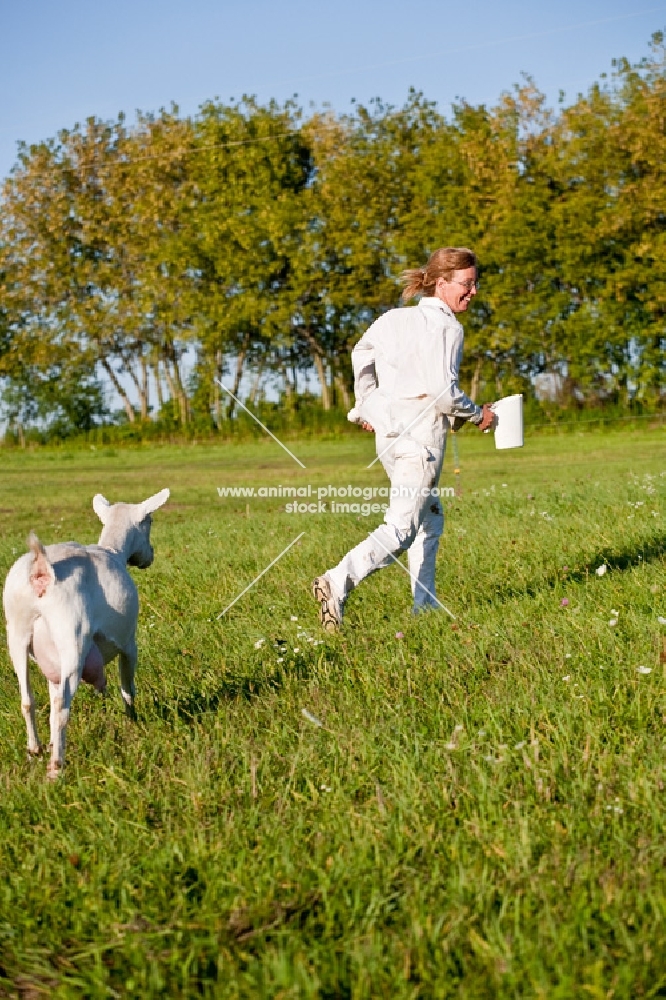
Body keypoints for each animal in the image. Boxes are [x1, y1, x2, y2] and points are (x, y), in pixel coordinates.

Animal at [3, 488, 169, 776]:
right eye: (149, 521)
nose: (150, 556)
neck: (113, 550)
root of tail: (43, 571)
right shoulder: (128, 643)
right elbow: (128, 688)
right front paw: (133, 722)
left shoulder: (51, 665)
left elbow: (50, 697)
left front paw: (51, 742)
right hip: (73, 640)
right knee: (62, 707)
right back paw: (56, 767)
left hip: (17, 635)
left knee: (28, 699)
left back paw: (35, 749)